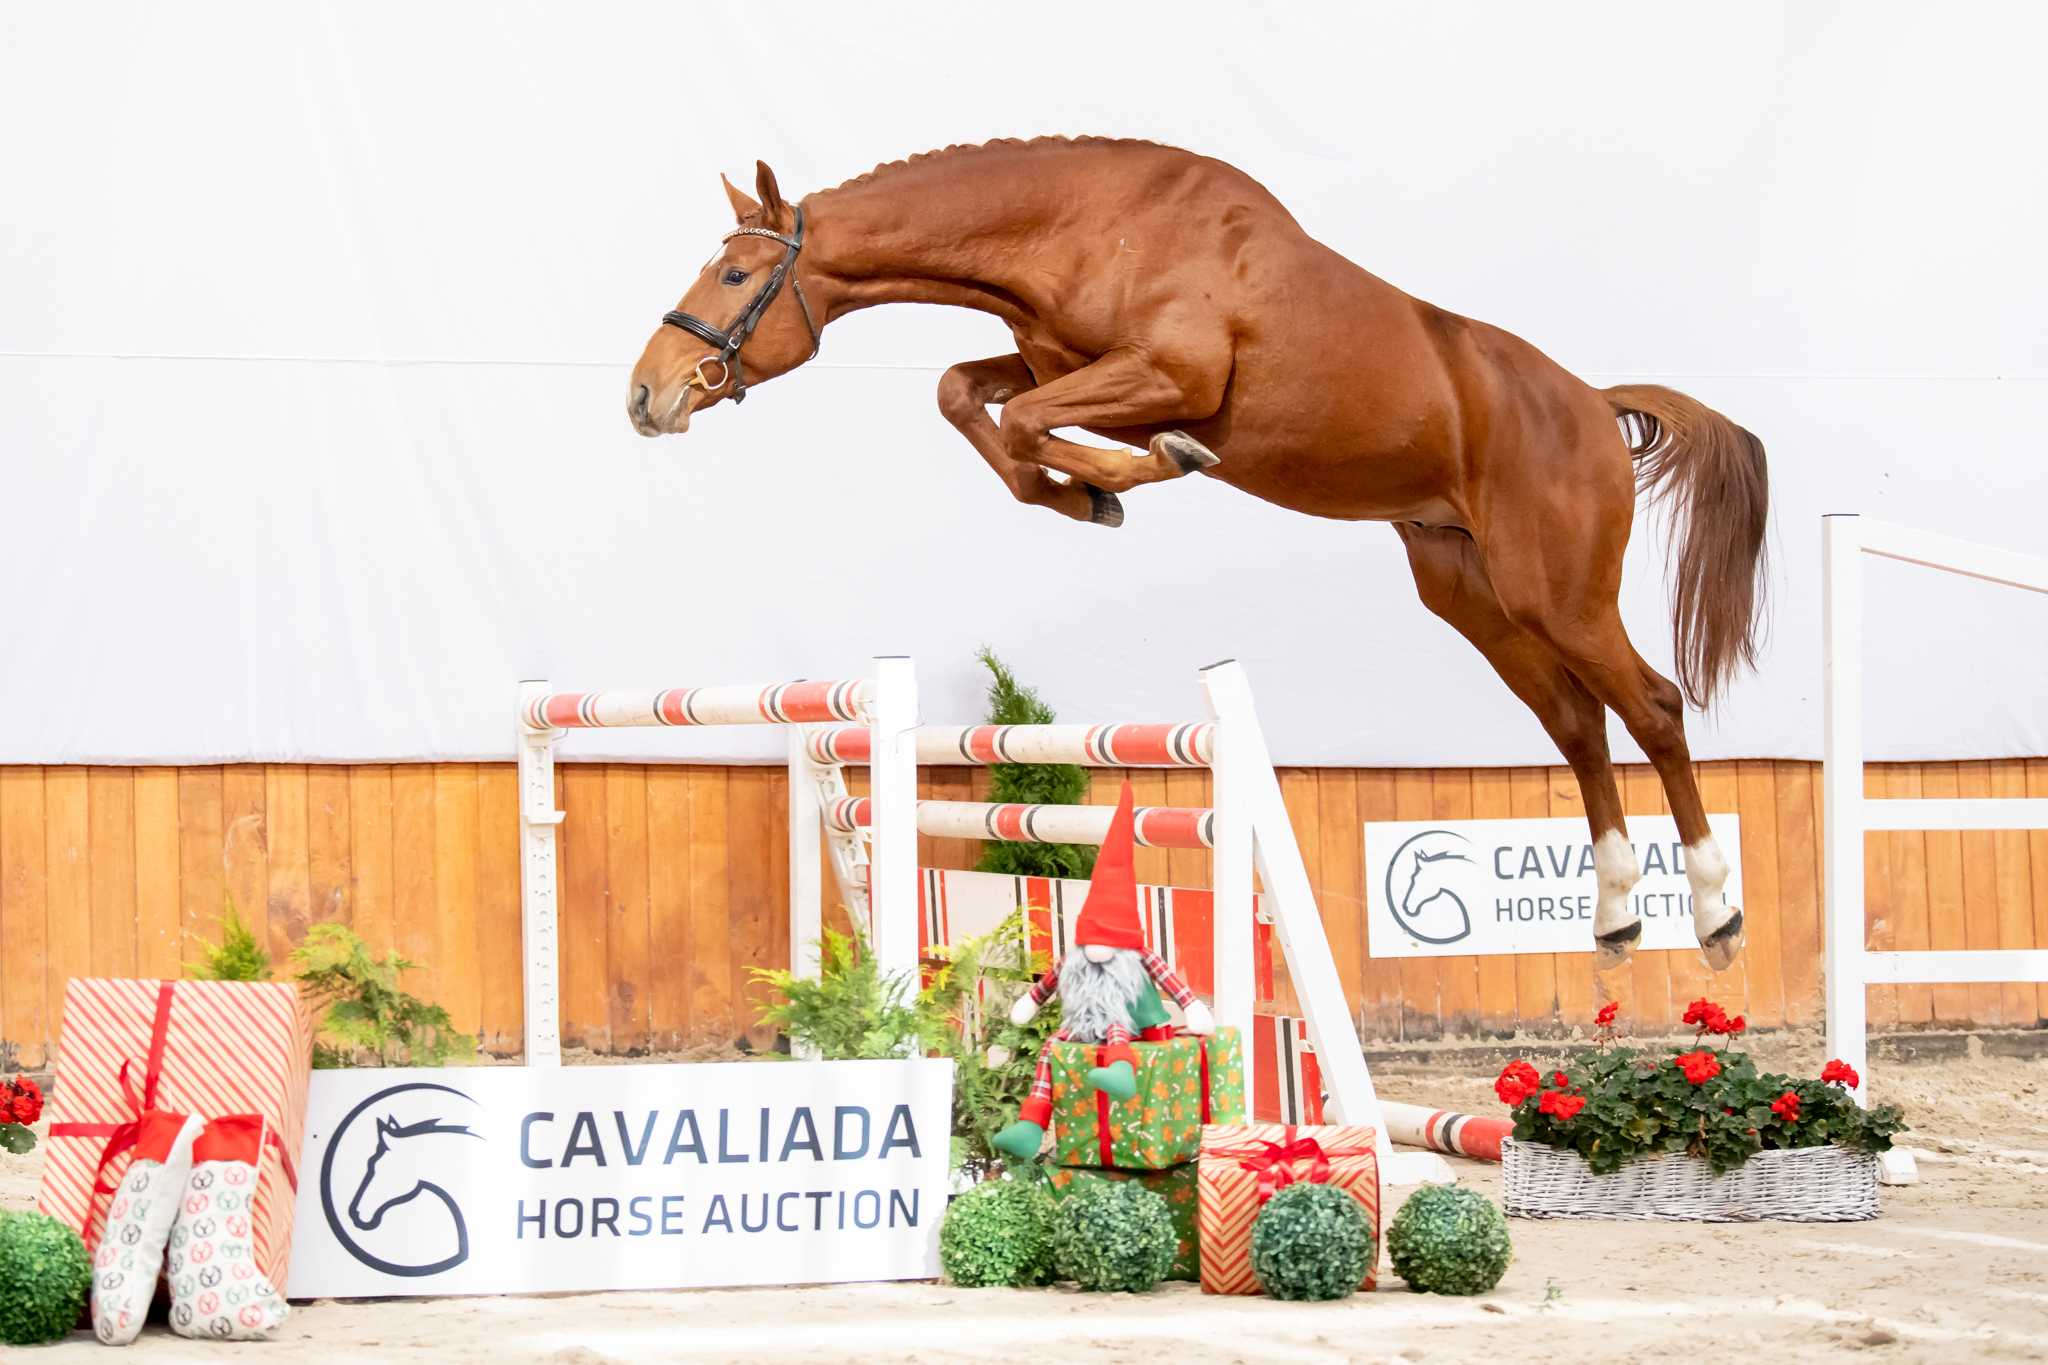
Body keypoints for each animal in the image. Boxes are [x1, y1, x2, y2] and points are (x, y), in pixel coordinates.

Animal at [627, 137, 1768, 974]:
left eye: (735, 272)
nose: (648, 394)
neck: (1086, 229)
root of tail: (1593, 405)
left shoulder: (1159, 375)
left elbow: (1037, 423)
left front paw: (1134, 474)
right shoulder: (1055, 360)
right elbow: (970, 398)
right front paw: (1083, 492)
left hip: (1556, 589)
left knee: (1651, 705)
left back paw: (1714, 914)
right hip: (1470, 591)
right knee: (1577, 723)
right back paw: (1616, 919)